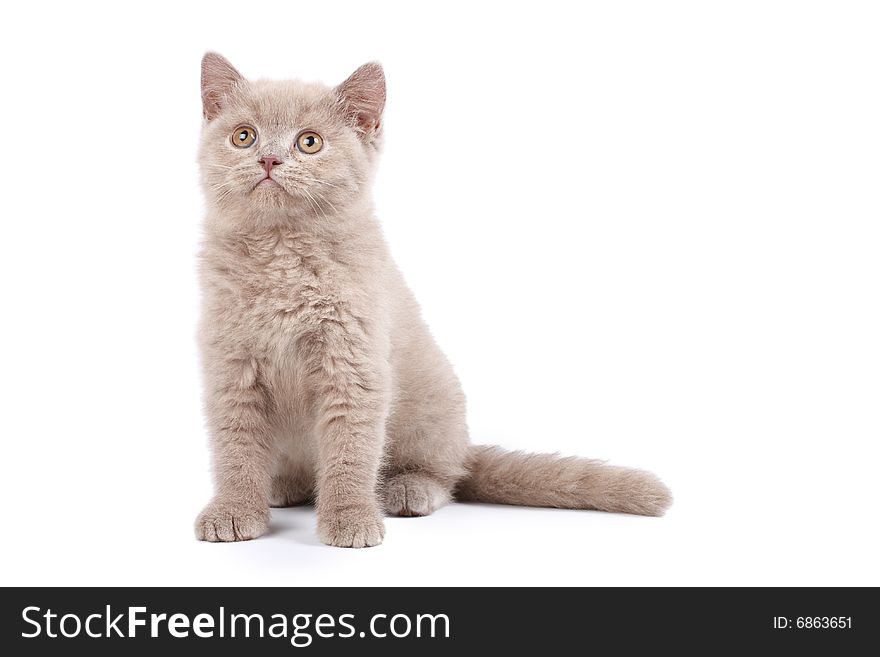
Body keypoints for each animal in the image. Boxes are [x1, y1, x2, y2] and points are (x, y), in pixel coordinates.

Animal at [194, 52, 672, 548]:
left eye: (310, 142)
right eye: (243, 136)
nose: (269, 158)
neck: (281, 253)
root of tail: (464, 447)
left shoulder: (353, 364)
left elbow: (350, 452)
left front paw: (350, 518)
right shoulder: (230, 367)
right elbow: (235, 448)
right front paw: (233, 510)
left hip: (433, 406)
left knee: (446, 475)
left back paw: (409, 489)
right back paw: (283, 486)